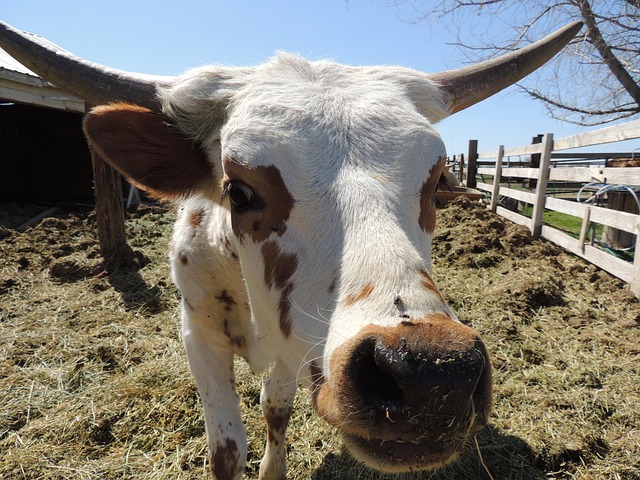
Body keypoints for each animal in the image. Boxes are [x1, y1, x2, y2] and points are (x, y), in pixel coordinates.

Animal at [0, 20, 582, 480]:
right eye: (238, 190)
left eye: (437, 181)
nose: (431, 375)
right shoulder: (199, 338)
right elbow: (225, 449)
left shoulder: (292, 347)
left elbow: (275, 408)